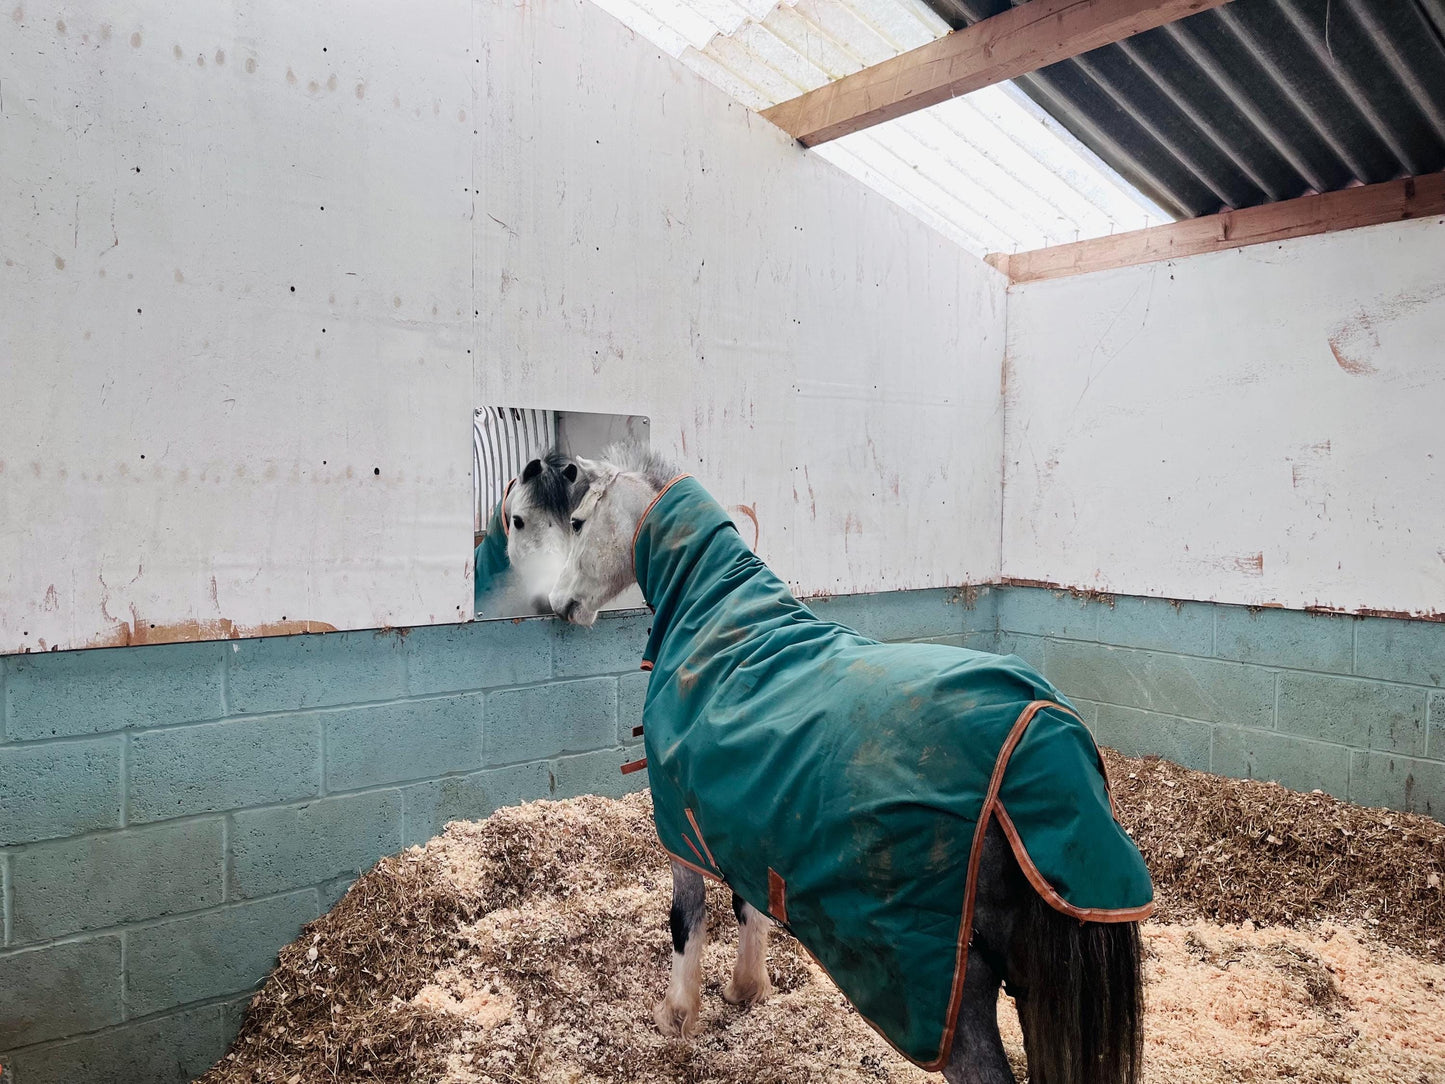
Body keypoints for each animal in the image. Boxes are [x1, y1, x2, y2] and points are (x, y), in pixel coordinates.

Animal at [548, 444, 1151, 1084]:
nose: (560, 605)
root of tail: (1047, 735)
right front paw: (746, 989)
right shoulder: (742, 820)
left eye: (578, 523)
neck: (718, 622)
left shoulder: (681, 828)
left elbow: (687, 920)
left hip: (949, 1000)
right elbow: (748, 907)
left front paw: (677, 1014)